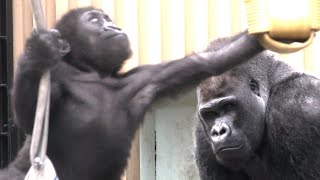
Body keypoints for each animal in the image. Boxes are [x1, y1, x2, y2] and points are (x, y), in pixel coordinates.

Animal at [11, 6, 262, 179]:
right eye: (94, 20)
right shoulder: (58, 74)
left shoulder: (145, 79)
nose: (113, 27)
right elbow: (30, 117)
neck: (94, 74)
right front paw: (38, 51)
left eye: (108, 19)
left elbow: (209, 61)